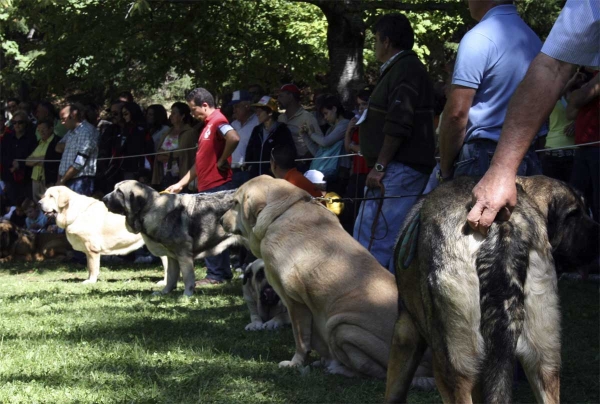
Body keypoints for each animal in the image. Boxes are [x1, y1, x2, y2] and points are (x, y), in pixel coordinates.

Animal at [103, 181, 244, 296]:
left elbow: (187, 276)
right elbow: (171, 276)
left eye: (119, 192)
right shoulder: (172, 256)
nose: (104, 199)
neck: (151, 207)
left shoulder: (183, 253)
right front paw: (165, 292)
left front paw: (187, 295)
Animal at [386, 176, 596, 404]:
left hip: (453, 369)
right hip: (544, 363)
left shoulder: (404, 331)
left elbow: (394, 391)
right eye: (573, 215)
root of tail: (503, 227)